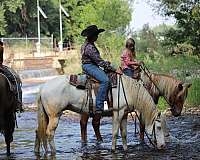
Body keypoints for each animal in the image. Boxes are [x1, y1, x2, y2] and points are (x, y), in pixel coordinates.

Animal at [34, 74, 166, 154]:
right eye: (159, 127)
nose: (163, 146)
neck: (128, 90)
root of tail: (43, 87)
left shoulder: (124, 114)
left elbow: (123, 134)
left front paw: (126, 149)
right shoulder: (117, 113)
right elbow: (115, 133)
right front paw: (113, 150)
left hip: (46, 116)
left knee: (39, 131)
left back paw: (38, 151)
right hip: (55, 116)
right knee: (49, 133)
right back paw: (53, 152)